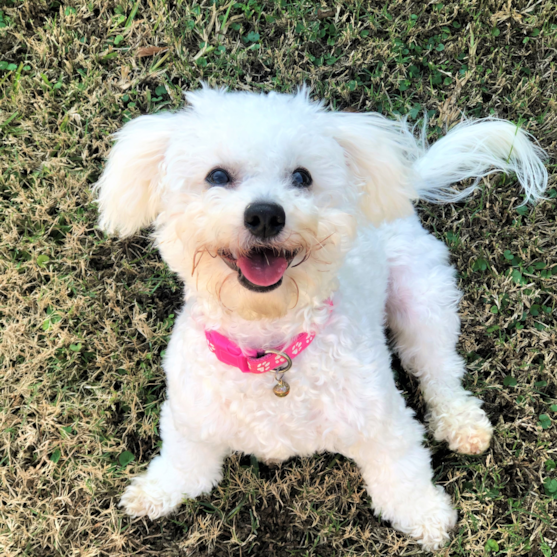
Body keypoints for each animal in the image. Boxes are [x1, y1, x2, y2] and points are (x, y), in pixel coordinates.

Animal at [93, 86, 544, 548]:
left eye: (302, 177)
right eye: (217, 176)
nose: (265, 215)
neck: (271, 348)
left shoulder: (385, 423)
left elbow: (403, 475)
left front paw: (427, 516)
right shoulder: (189, 421)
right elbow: (184, 467)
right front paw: (153, 493)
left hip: (423, 298)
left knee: (440, 370)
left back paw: (461, 423)